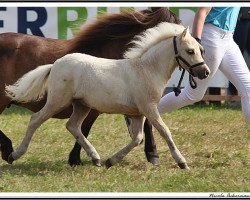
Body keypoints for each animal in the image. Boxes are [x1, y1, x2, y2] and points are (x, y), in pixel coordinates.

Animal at [5, 22, 209, 170]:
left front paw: (111, 161)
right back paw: (14, 155)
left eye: (201, 50)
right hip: (58, 101)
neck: (146, 70)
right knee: (35, 120)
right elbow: (165, 131)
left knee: (72, 125)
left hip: (82, 105)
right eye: (190, 51)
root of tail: (55, 64)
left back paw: (95, 158)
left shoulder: (138, 113)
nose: (205, 72)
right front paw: (182, 162)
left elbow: (137, 138)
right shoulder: (149, 108)